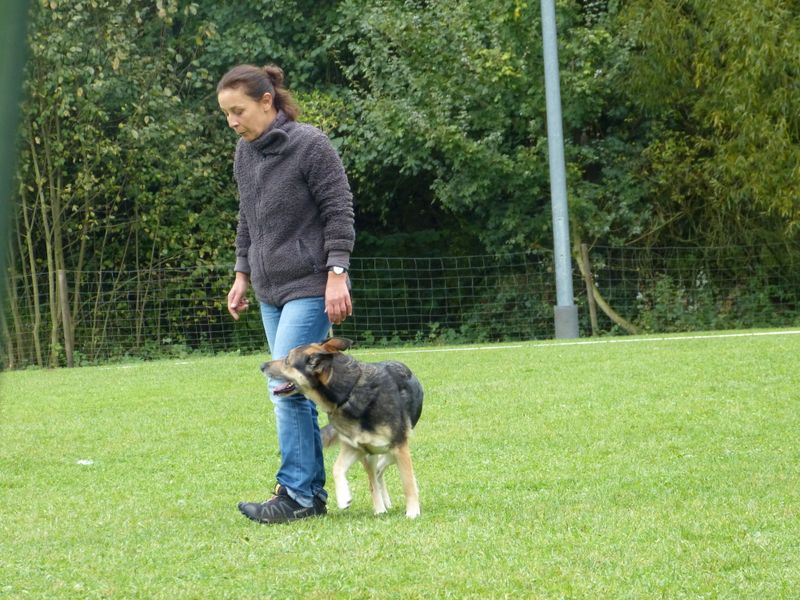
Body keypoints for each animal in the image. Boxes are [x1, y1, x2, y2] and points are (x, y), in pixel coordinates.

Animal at [261, 337, 423, 518]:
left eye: (287, 361)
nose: (262, 366)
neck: (348, 392)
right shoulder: (357, 448)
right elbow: (338, 468)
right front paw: (344, 498)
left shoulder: (399, 446)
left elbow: (408, 483)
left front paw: (413, 512)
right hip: (373, 454)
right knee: (376, 474)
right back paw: (382, 506)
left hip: (394, 450)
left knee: (383, 470)